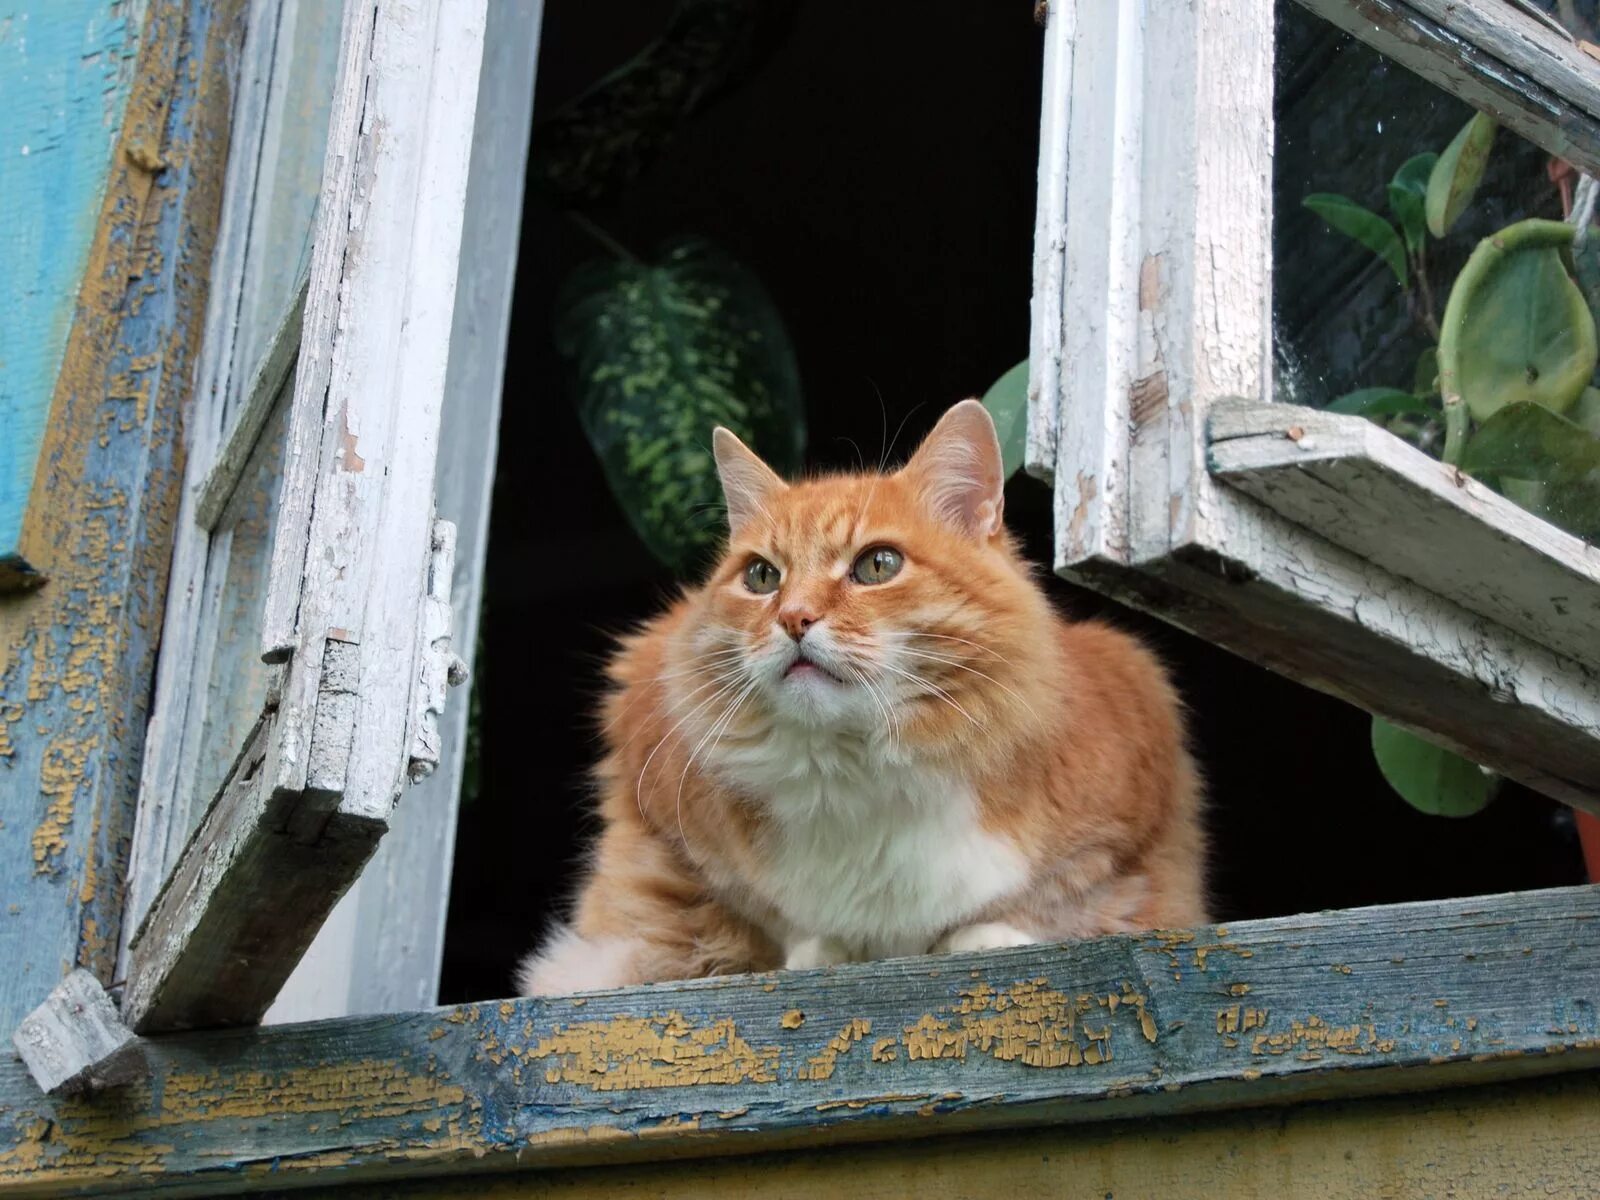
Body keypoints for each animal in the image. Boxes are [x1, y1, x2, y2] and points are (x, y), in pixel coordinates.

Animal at [518, 404, 1203, 998]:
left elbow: (1066, 902)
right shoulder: (662, 816)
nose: (793, 618)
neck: (856, 765)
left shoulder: (1138, 808)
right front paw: (821, 948)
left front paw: (987, 937)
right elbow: (747, 924)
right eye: (762, 576)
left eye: (878, 565)